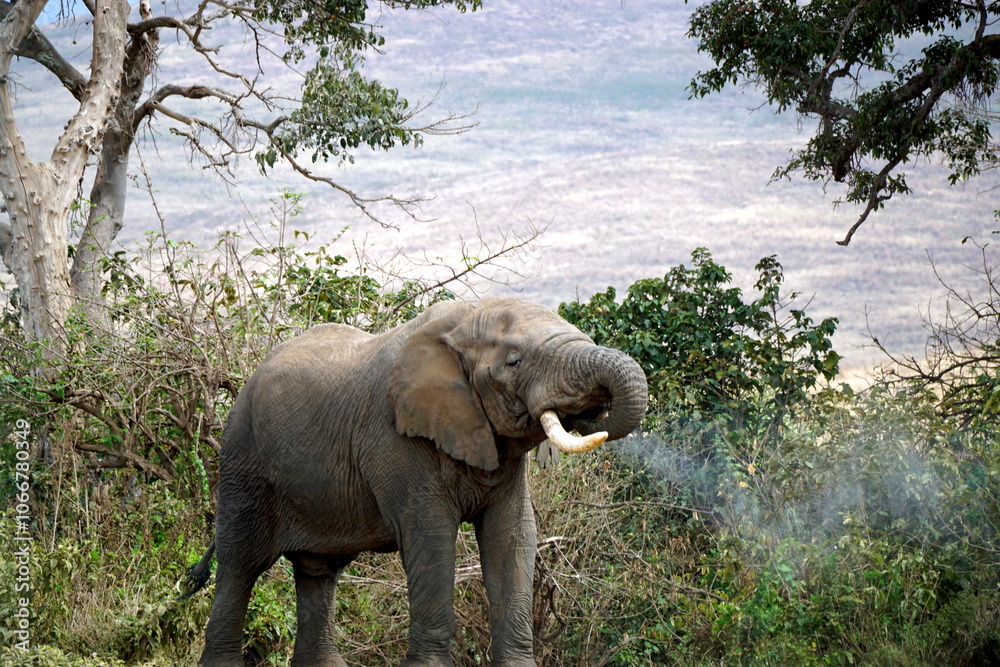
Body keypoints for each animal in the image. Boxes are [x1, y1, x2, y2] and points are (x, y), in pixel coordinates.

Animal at [185, 297, 648, 666]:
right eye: (514, 361)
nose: (590, 412)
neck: (462, 323)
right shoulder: (395, 439)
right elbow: (430, 535)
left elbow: (513, 534)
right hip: (243, 460)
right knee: (240, 564)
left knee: (318, 572)